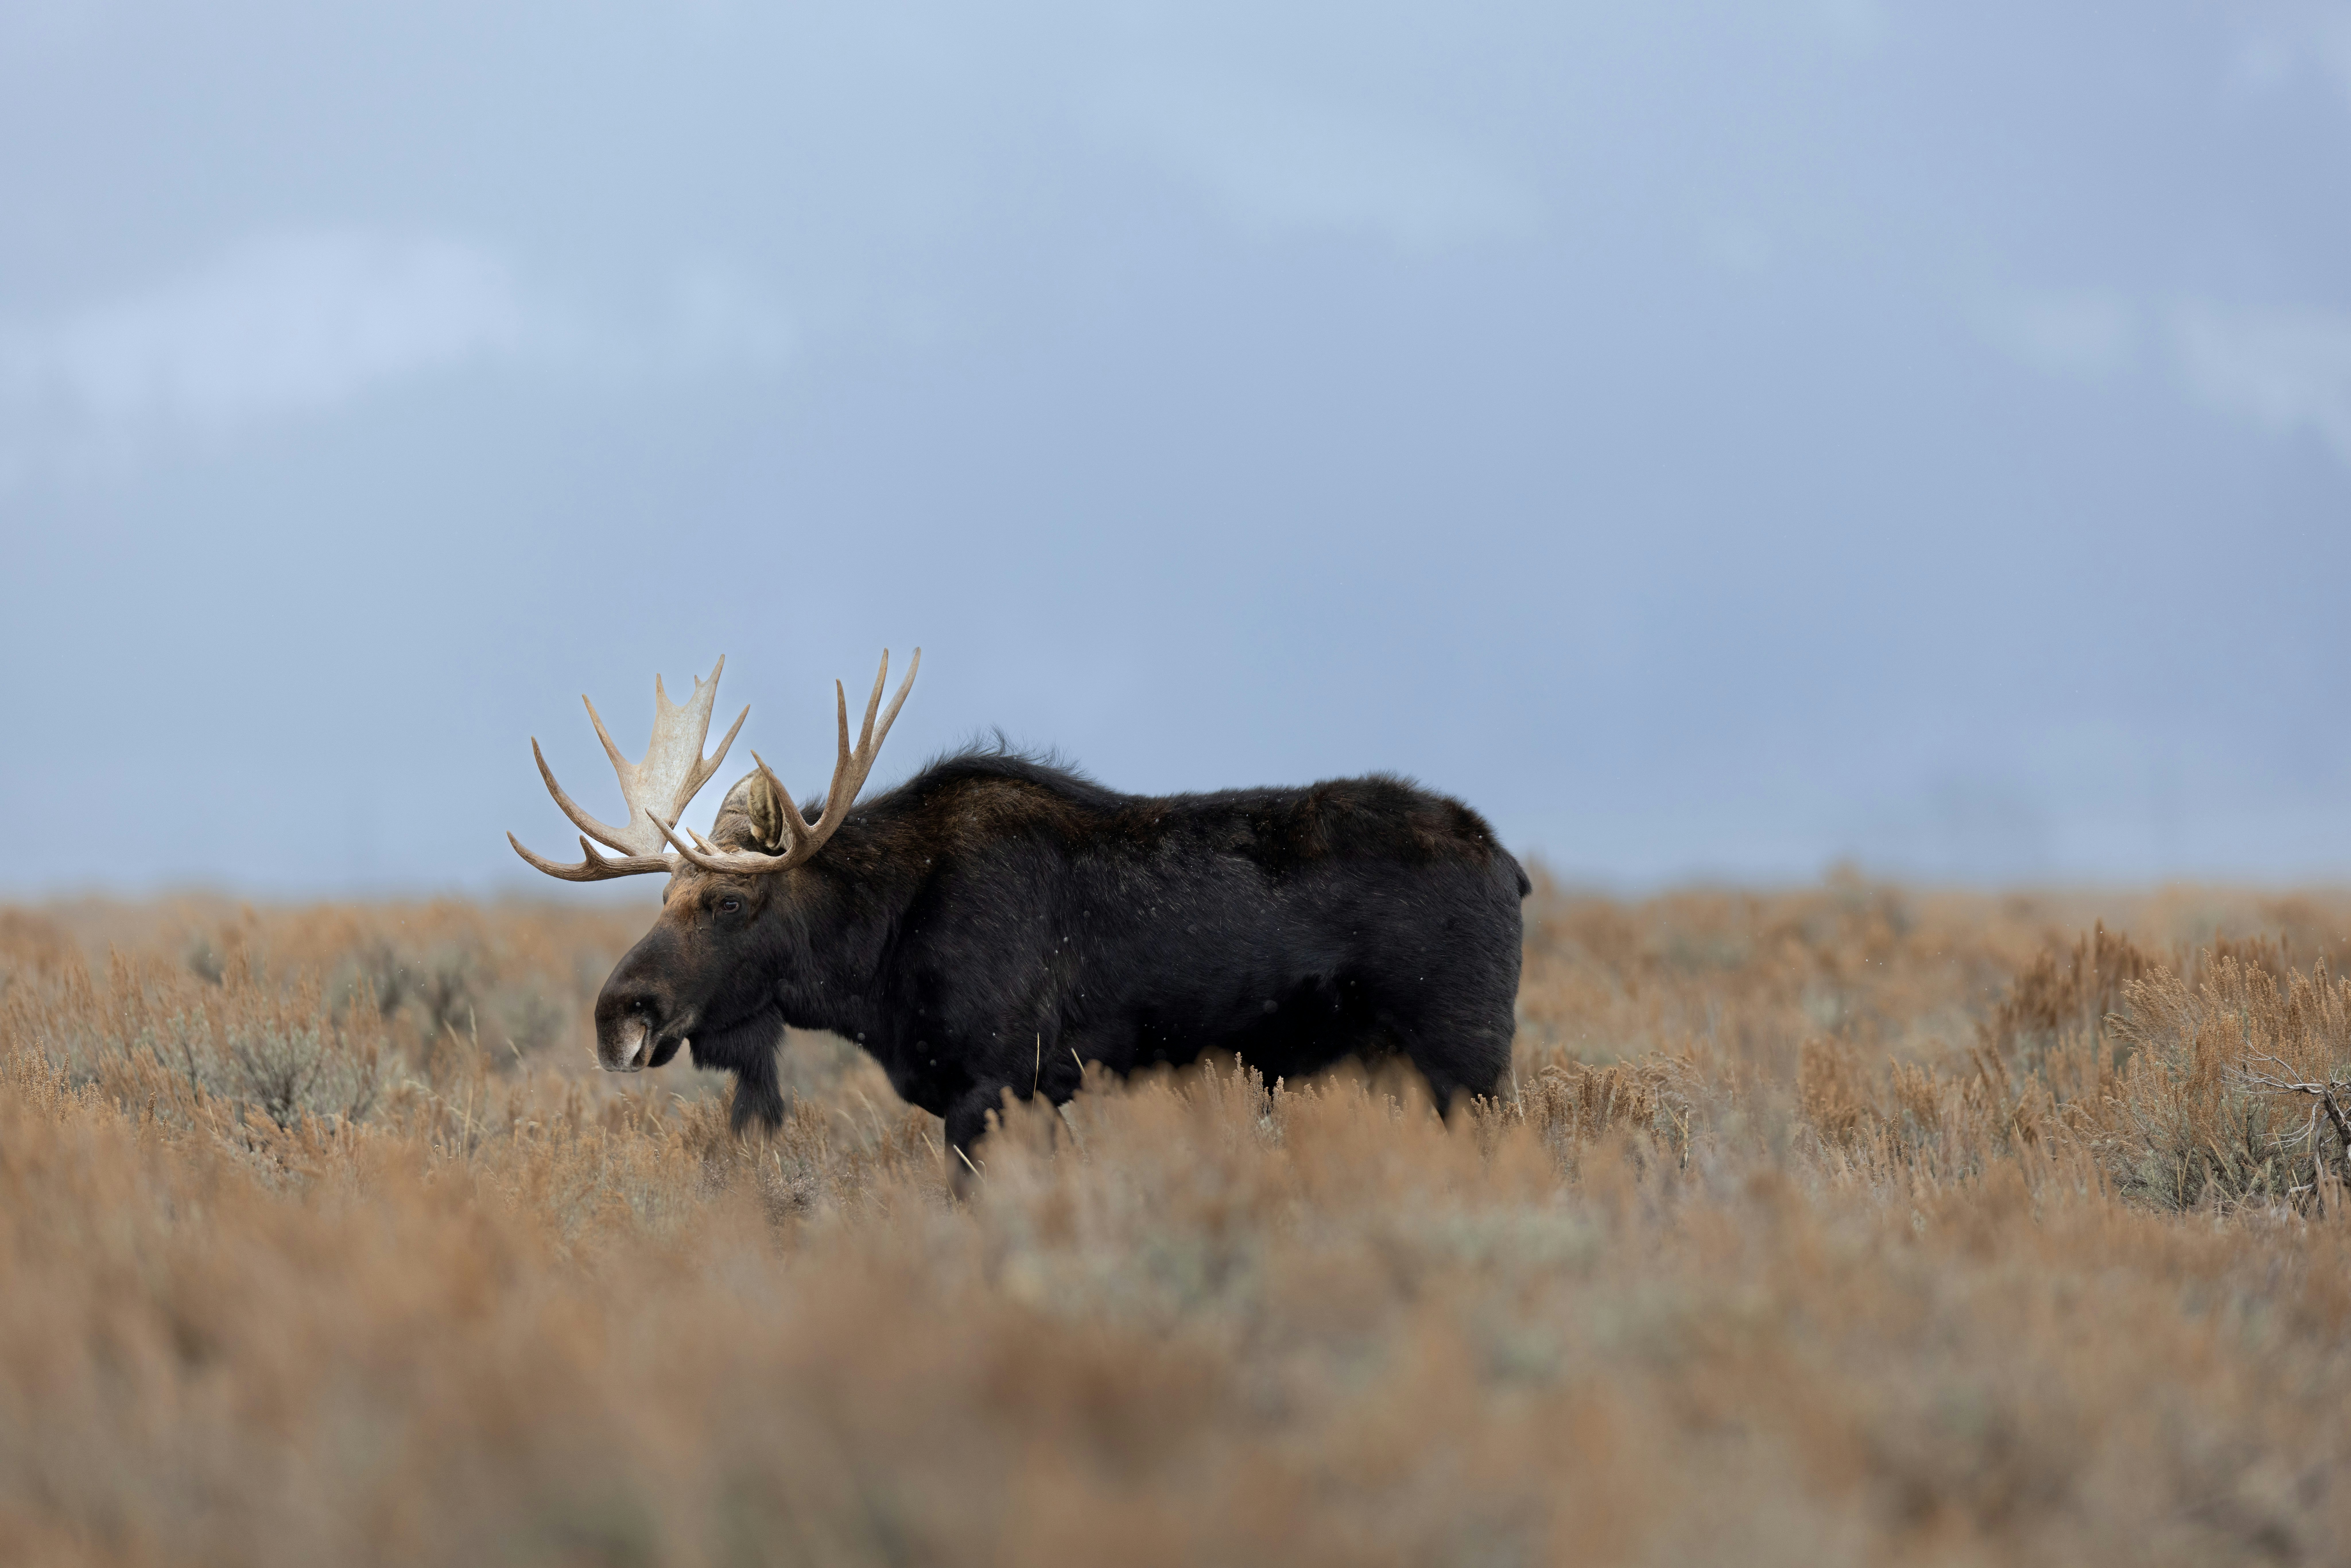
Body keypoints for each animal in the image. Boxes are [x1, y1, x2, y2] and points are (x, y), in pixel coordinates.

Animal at [510, 654, 1528, 1191]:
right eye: (661, 900)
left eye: (729, 901)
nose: (619, 1016)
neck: (871, 966)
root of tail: (1512, 870)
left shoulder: (995, 1085)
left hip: (1465, 1060)